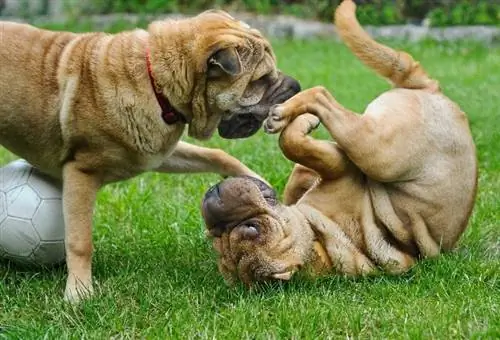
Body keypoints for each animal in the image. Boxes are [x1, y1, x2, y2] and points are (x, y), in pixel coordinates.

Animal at [0, 9, 300, 300]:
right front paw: (79, 293)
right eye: (261, 80)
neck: (155, 81)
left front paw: (258, 182)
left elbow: (216, 154)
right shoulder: (81, 172)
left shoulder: (156, 152)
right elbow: (80, 240)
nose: (297, 86)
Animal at [201, 0, 478, 286]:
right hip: (376, 149)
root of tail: (432, 90)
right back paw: (288, 113)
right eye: (215, 237)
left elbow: (294, 150)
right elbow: (292, 143)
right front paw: (303, 123)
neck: (319, 241)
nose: (213, 199)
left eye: (252, 229)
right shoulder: (338, 166)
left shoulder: (327, 168)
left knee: (321, 97)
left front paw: (302, 126)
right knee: (322, 96)